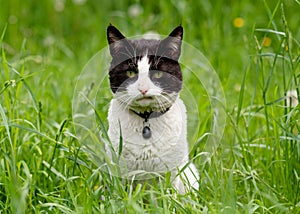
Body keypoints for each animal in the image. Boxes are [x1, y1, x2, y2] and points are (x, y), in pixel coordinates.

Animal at [106, 24, 199, 193]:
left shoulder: (170, 171)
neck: (146, 119)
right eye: (130, 72)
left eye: (158, 74)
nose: (143, 88)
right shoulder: (119, 167)